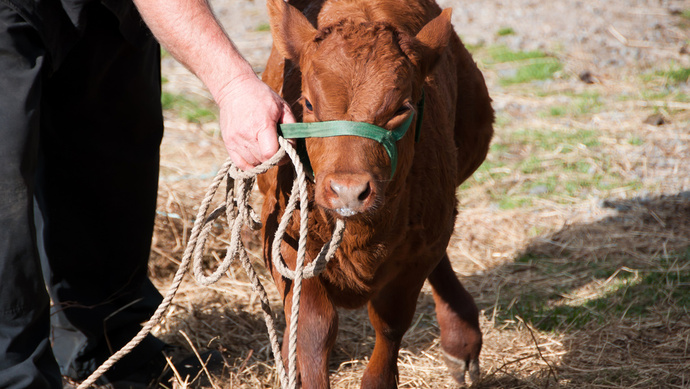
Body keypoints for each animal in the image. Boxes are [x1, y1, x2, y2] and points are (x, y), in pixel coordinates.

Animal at [256, 0, 490, 384]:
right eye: (307, 103)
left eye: (402, 108)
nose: (348, 191)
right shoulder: (286, 237)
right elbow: (312, 327)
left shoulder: (417, 254)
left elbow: (390, 322)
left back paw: (461, 339)